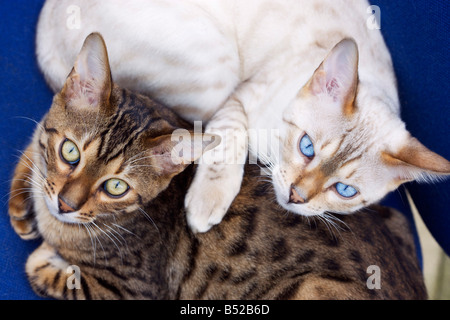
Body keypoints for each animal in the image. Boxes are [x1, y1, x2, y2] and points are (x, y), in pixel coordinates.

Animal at [8, 33, 428, 300]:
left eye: (116, 187)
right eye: (70, 152)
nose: (65, 204)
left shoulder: (131, 290)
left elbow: (49, 273)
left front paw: (46, 255)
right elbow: (35, 142)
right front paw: (23, 204)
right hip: (396, 219)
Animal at [37, 0, 448, 231]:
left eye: (345, 191)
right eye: (307, 147)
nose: (297, 197)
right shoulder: (238, 99)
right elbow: (227, 143)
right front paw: (206, 205)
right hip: (216, 68)